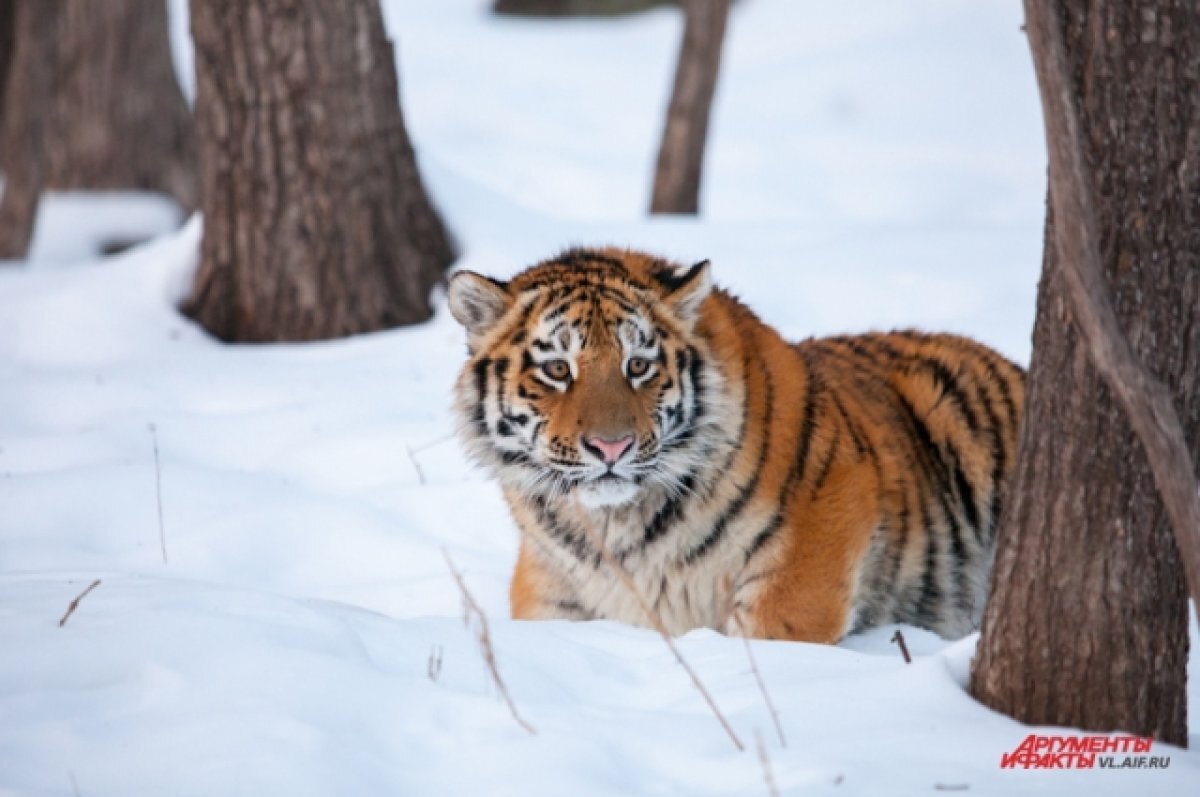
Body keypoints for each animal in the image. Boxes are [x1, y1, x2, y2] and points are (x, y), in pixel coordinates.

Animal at [446, 249, 1027, 643]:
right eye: (556, 370)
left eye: (638, 366)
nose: (611, 447)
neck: (617, 530)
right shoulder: (551, 594)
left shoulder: (810, 553)